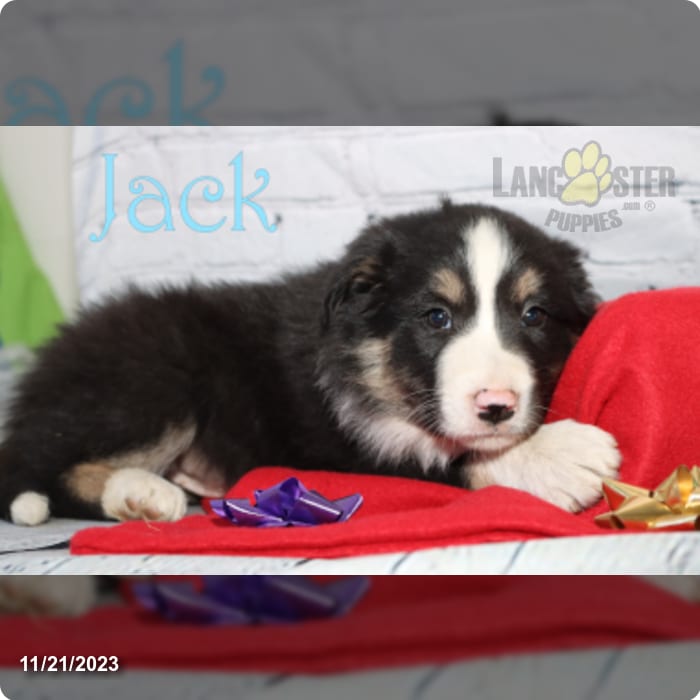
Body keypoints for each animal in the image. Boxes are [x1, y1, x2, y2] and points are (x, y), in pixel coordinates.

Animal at [1, 200, 624, 524]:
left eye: (534, 315)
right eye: (436, 317)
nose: (497, 406)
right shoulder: (338, 444)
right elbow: (441, 458)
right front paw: (557, 456)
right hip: (155, 377)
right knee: (41, 473)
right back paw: (143, 495)